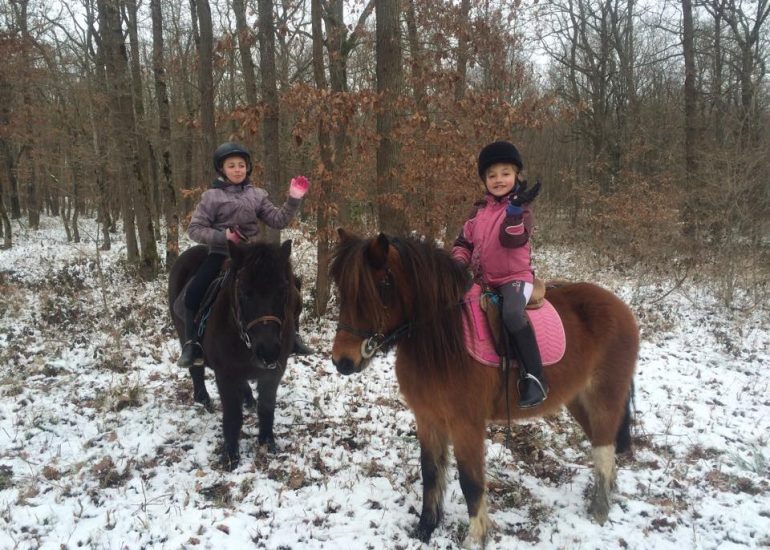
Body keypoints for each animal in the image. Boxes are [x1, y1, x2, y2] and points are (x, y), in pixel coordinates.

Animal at [168, 242, 296, 470]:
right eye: (244, 291)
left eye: (282, 290)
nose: (268, 351)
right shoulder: (225, 375)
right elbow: (233, 414)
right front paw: (231, 455)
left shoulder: (273, 374)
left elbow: (266, 407)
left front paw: (267, 442)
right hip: (183, 335)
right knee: (196, 370)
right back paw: (203, 398)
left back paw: (247, 398)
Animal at [328, 231, 636, 548]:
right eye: (342, 288)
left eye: (383, 286)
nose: (343, 361)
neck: (443, 340)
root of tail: (620, 307)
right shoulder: (427, 418)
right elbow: (430, 471)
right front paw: (425, 529)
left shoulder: (466, 425)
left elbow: (471, 482)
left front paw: (475, 538)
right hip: (578, 400)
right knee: (604, 445)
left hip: (605, 398)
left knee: (603, 449)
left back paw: (600, 509)